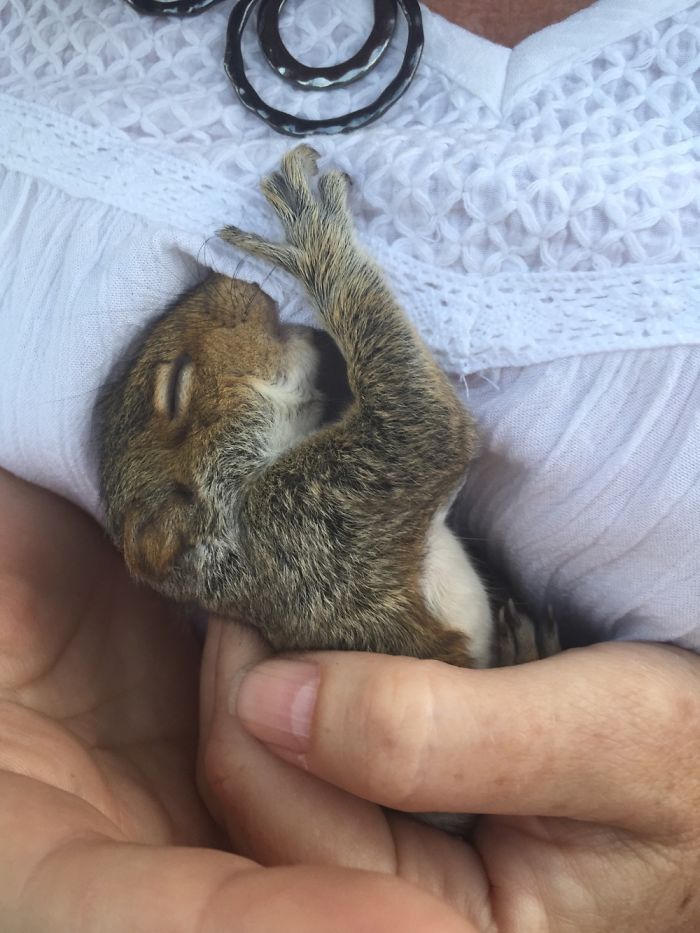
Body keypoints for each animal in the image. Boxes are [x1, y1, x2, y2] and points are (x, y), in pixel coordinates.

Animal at [98, 145, 558, 672]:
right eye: (175, 387)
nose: (222, 281)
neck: (236, 551)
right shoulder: (312, 524)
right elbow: (424, 420)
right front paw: (317, 247)